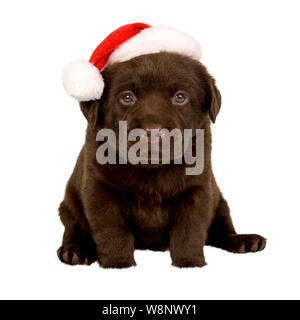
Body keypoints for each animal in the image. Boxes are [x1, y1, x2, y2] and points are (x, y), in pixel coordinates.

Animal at [58, 23, 264, 268]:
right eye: (127, 97)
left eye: (180, 97)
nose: (152, 131)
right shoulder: (99, 188)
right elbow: (112, 229)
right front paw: (118, 262)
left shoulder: (197, 188)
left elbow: (190, 229)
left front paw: (189, 262)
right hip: (69, 206)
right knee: (73, 228)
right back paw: (75, 250)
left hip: (220, 202)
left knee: (222, 231)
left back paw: (244, 241)